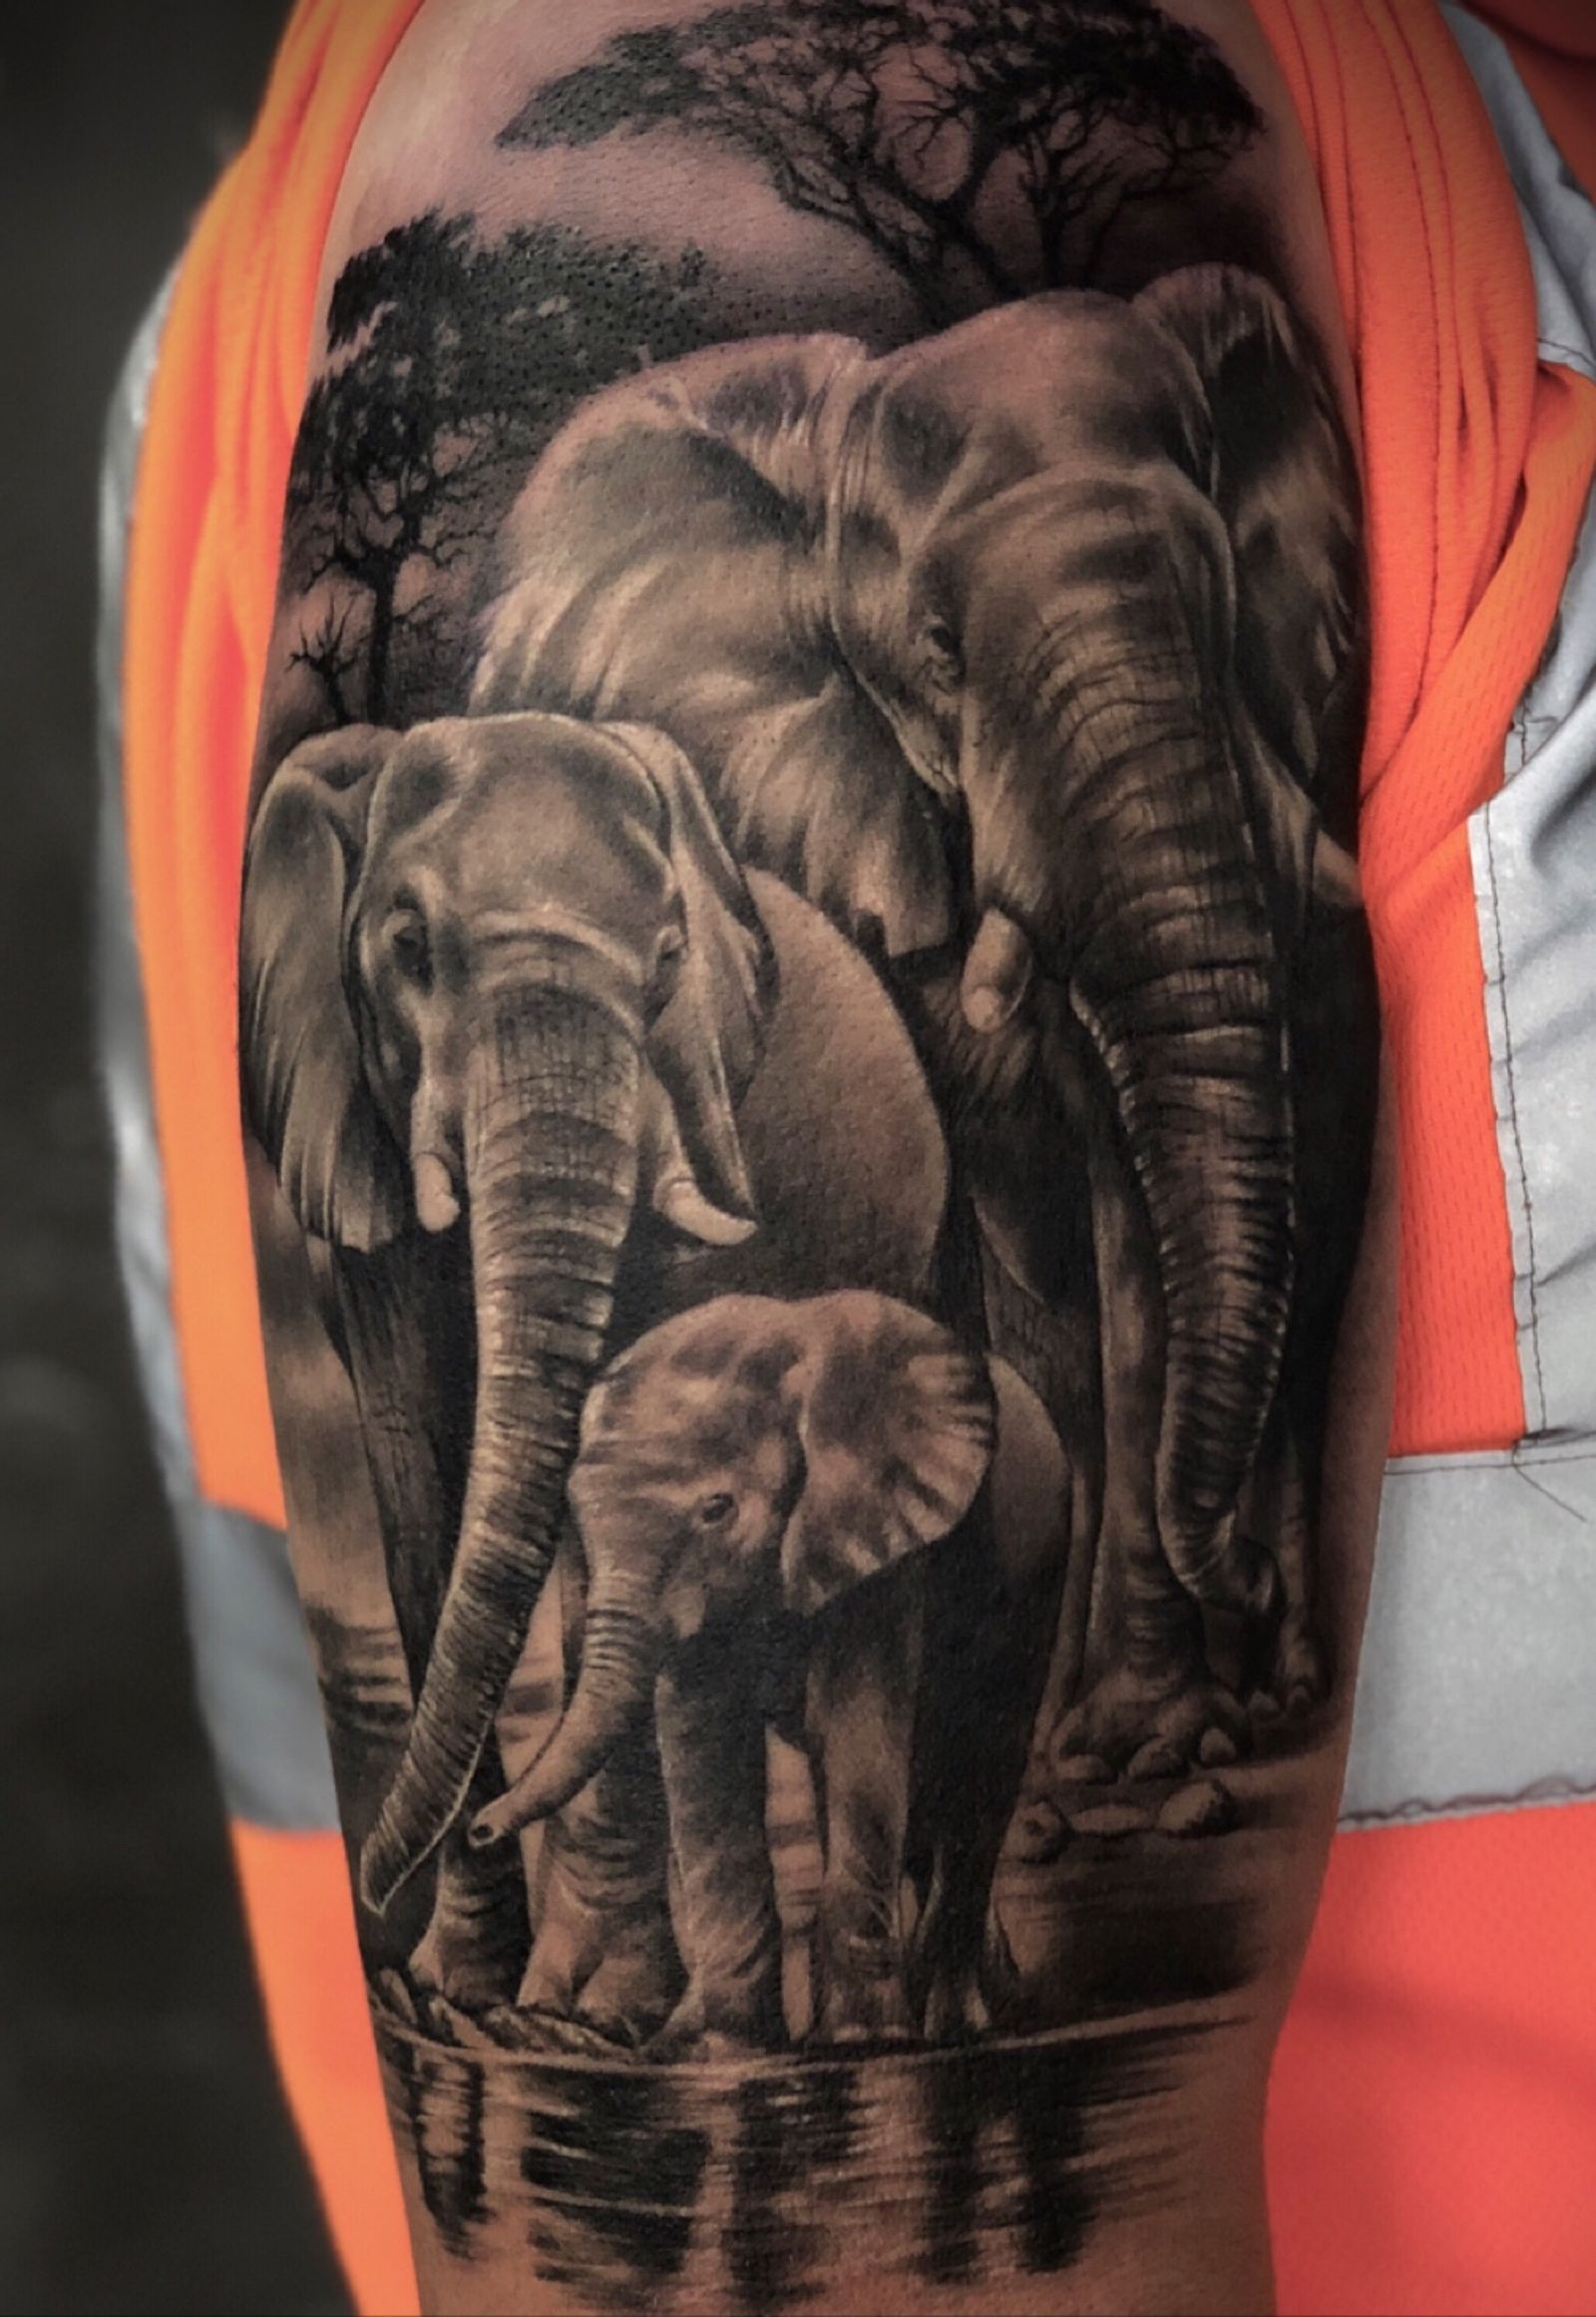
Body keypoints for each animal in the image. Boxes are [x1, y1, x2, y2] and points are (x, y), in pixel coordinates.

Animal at [240, 706, 992, 2017]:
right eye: (407, 945)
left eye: (666, 961)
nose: (371, 1884)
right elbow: (413, 1467)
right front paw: (461, 1993)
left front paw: (581, 2012)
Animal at [467, 259, 1375, 1771]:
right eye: (941, 651)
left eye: (1219, 597)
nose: (1235, 1577)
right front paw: (1116, 1739)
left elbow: (1126, 1195)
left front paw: (1148, 1741)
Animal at [471, 1290, 1069, 2049]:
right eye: (578, 1509)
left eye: (717, 1508)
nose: (480, 1828)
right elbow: (704, 1750)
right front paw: (718, 2049)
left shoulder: (879, 1539)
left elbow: (860, 1730)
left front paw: (863, 2041)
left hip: (1038, 1573)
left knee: (981, 1766)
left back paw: (957, 2023)